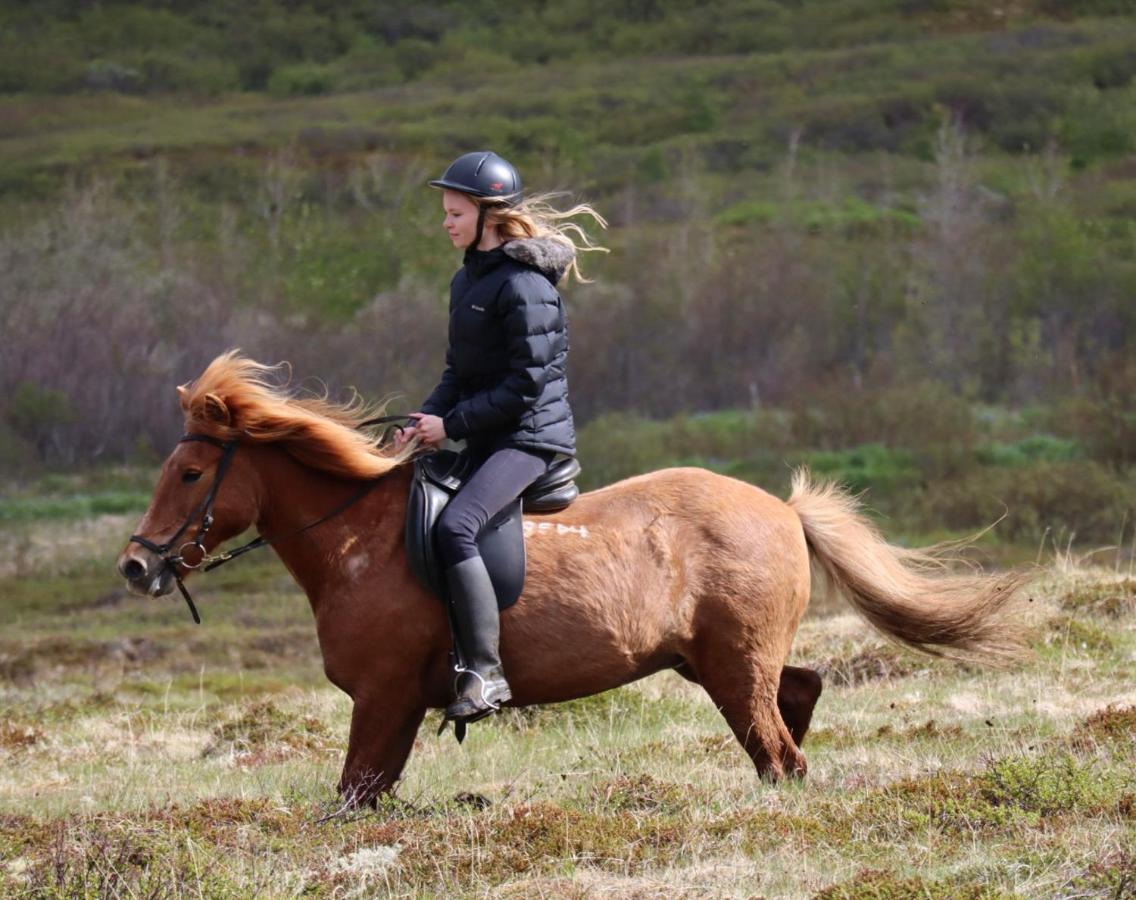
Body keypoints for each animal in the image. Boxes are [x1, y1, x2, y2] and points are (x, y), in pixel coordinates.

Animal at [117, 350, 1031, 800]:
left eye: (191, 474)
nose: (136, 564)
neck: (357, 541)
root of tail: (779, 509)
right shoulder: (393, 706)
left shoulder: (382, 698)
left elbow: (351, 796)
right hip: (713, 660)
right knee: (793, 704)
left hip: (732, 663)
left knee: (776, 745)